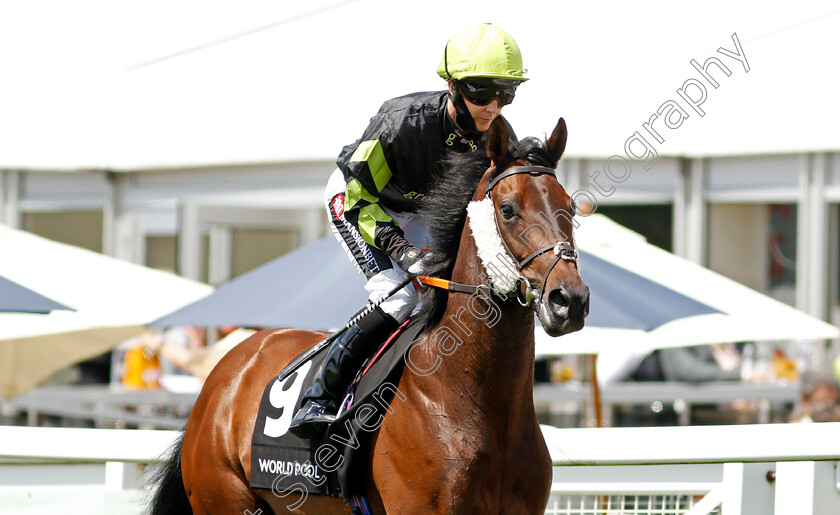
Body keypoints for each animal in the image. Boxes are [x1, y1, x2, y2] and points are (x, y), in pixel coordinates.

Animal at [148, 117, 588, 515]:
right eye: (508, 209)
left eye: (569, 207)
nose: (569, 299)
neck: (471, 396)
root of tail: (223, 373)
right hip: (224, 497)